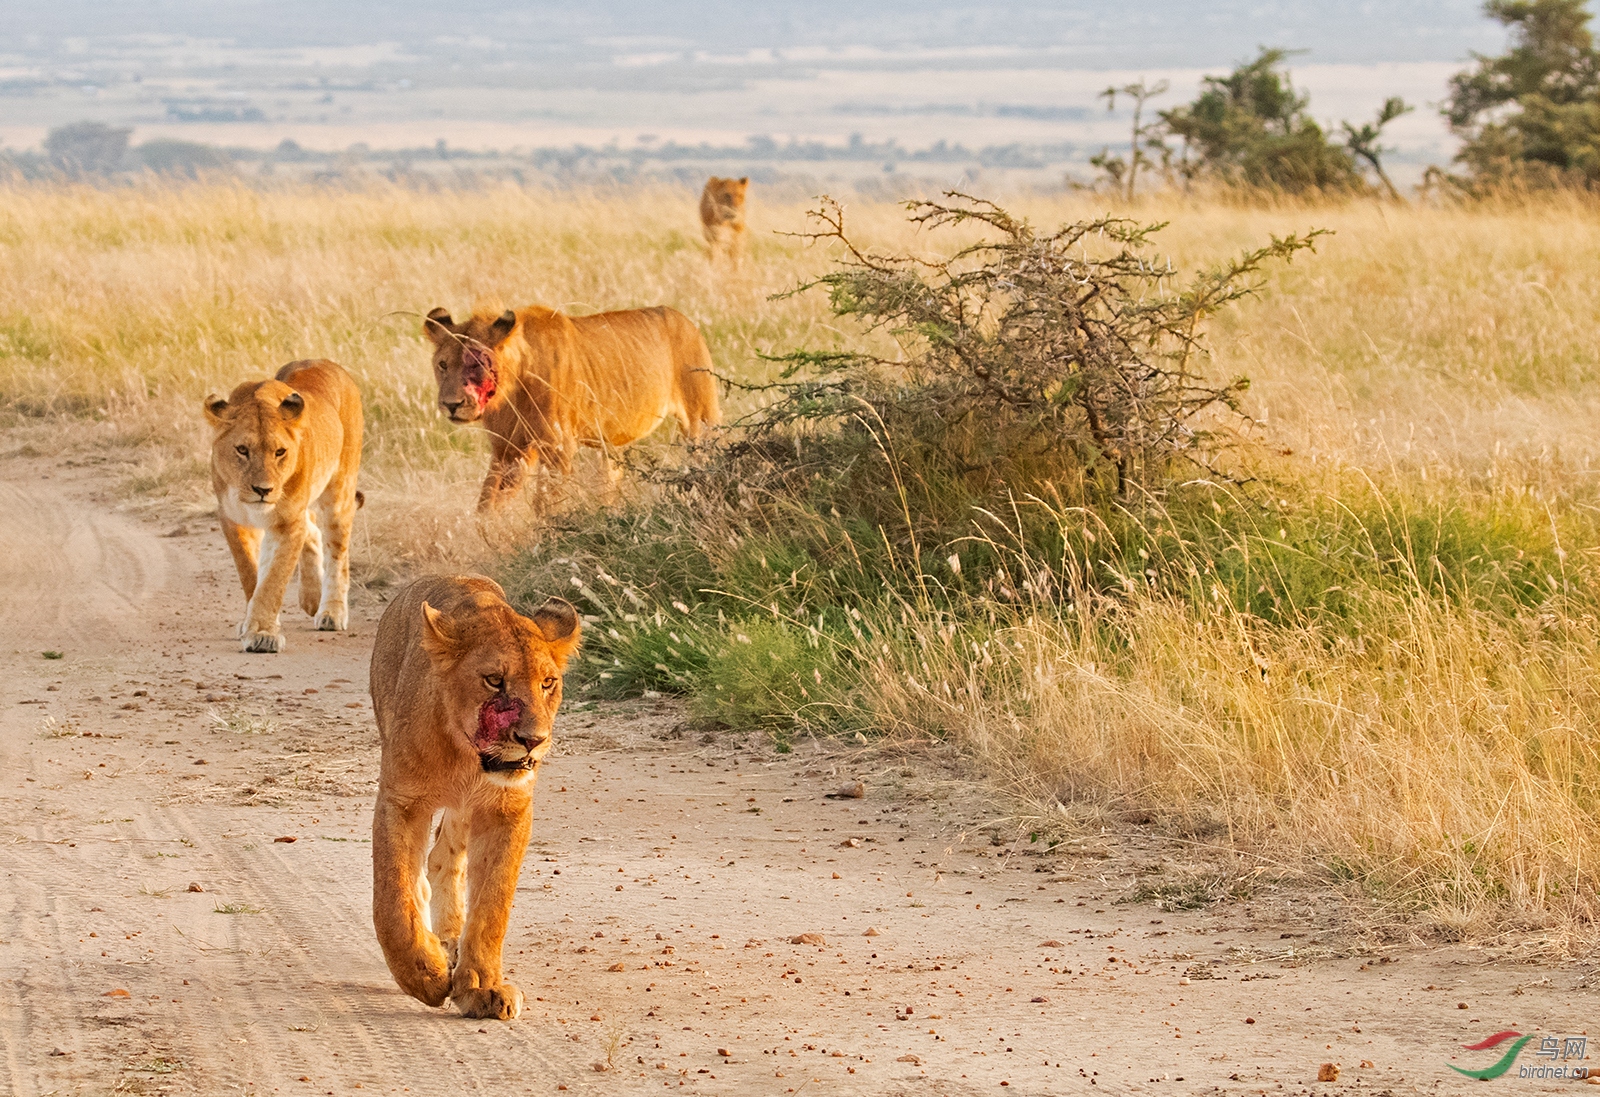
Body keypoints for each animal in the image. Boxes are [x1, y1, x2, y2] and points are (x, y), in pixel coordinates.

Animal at [203, 361, 363, 652]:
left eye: (280, 452)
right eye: (242, 450)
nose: (263, 490)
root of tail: (327, 362)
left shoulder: (287, 523)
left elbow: (274, 579)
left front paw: (262, 634)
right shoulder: (233, 519)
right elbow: (252, 575)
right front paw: (255, 624)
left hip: (340, 492)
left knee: (337, 553)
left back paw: (331, 612)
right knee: (312, 530)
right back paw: (311, 598)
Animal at [368, 575, 582, 1023]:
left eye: (548, 683)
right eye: (494, 681)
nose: (534, 740)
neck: (466, 758)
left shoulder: (507, 810)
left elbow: (492, 904)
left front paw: (481, 986)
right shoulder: (401, 801)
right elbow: (393, 899)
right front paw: (425, 975)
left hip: (467, 811)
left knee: (442, 858)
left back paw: (450, 942)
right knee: (419, 873)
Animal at [425, 300, 726, 508]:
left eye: (477, 365)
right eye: (443, 365)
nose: (451, 404)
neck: (509, 393)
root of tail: (685, 319)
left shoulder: (558, 447)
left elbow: (546, 504)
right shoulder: (507, 450)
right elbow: (487, 505)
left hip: (701, 423)